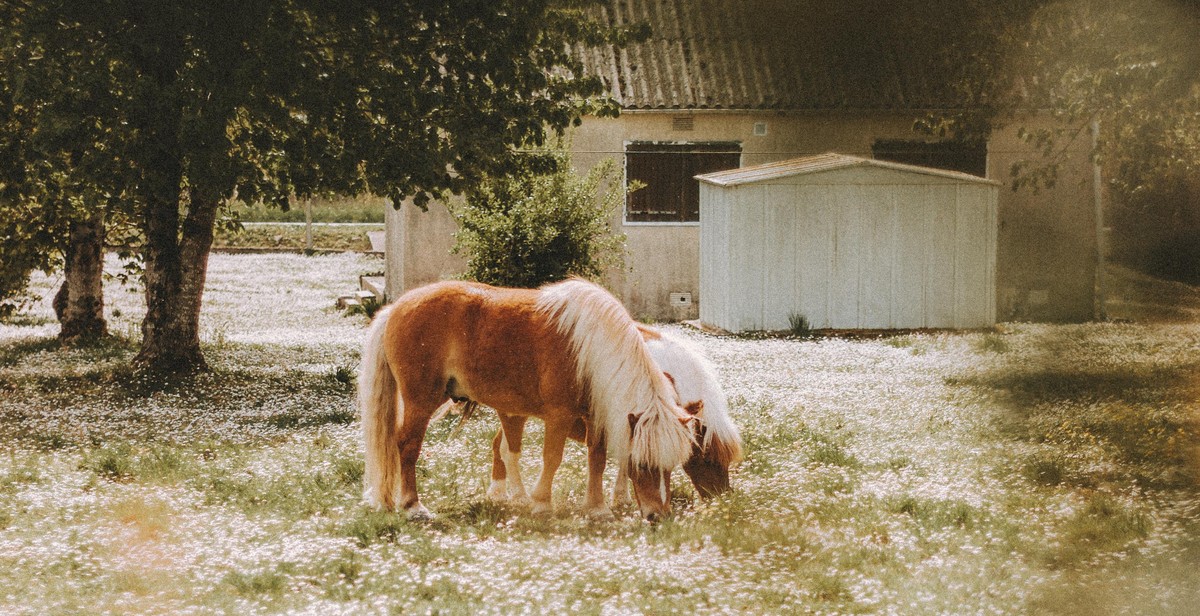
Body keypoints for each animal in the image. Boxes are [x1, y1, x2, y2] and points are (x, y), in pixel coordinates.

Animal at [355, 277, 696, 518]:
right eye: (642, 463)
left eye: (670, 467)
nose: (658, 516)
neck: (589, 346)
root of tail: (397, 307)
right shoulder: (559, 415)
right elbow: (552, 458)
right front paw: (542, 502)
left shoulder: (595, 415)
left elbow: (597, 459)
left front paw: (597, 507)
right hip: (421, 400)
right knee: (407, 445)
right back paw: (413, 506)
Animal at [487, 324, 739, 506]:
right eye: (708, 458)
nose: (722, 498)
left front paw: (621, 497)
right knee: (507, 450)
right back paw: (516, 497)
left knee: (499, 445)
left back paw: (498, 493)